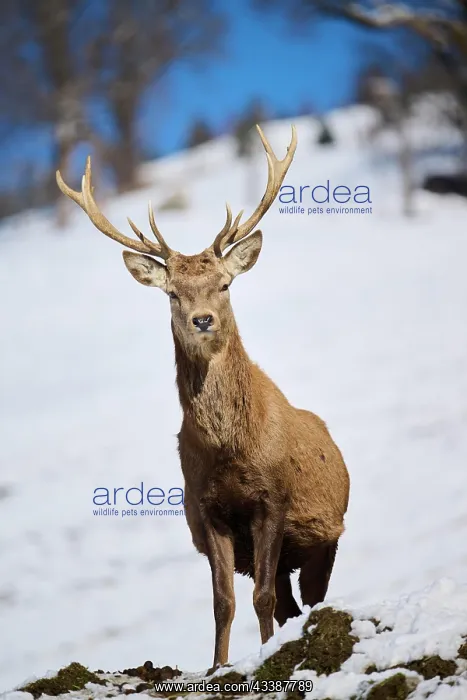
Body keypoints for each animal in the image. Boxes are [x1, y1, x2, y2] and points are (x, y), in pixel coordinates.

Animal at [56, 124, 350, 672]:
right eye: (172, 293)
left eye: (225, 284)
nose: (203, 320)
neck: (229, 449)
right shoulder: (209, 511)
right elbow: (224, 600)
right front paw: (218, 665)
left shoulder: (273, 500)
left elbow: (261, 597)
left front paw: (261, 658)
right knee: (288, 602)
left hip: (324, 536)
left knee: (309, 598)